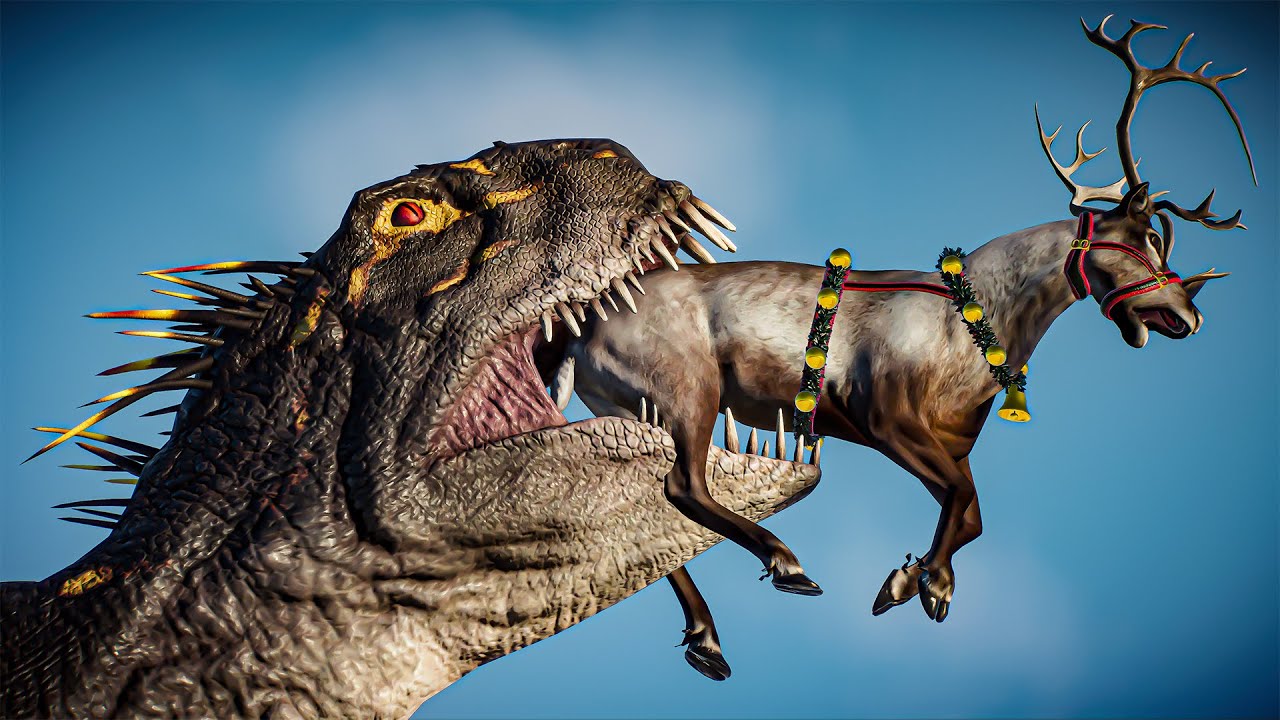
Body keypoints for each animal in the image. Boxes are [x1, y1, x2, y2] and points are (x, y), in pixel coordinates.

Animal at [534, 16, 1255, 681]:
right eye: (1143, 239)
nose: (1188, 317)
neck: (980, 320)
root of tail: (579, 331)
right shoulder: (885, 417)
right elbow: (964, 502)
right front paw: (917, 583)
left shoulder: (952, 440)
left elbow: (969, 514)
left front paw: (921, 583)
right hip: (686, 390)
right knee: (683, 485)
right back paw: (786, 565)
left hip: (624, 406)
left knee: (652, 506)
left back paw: (708, 641)